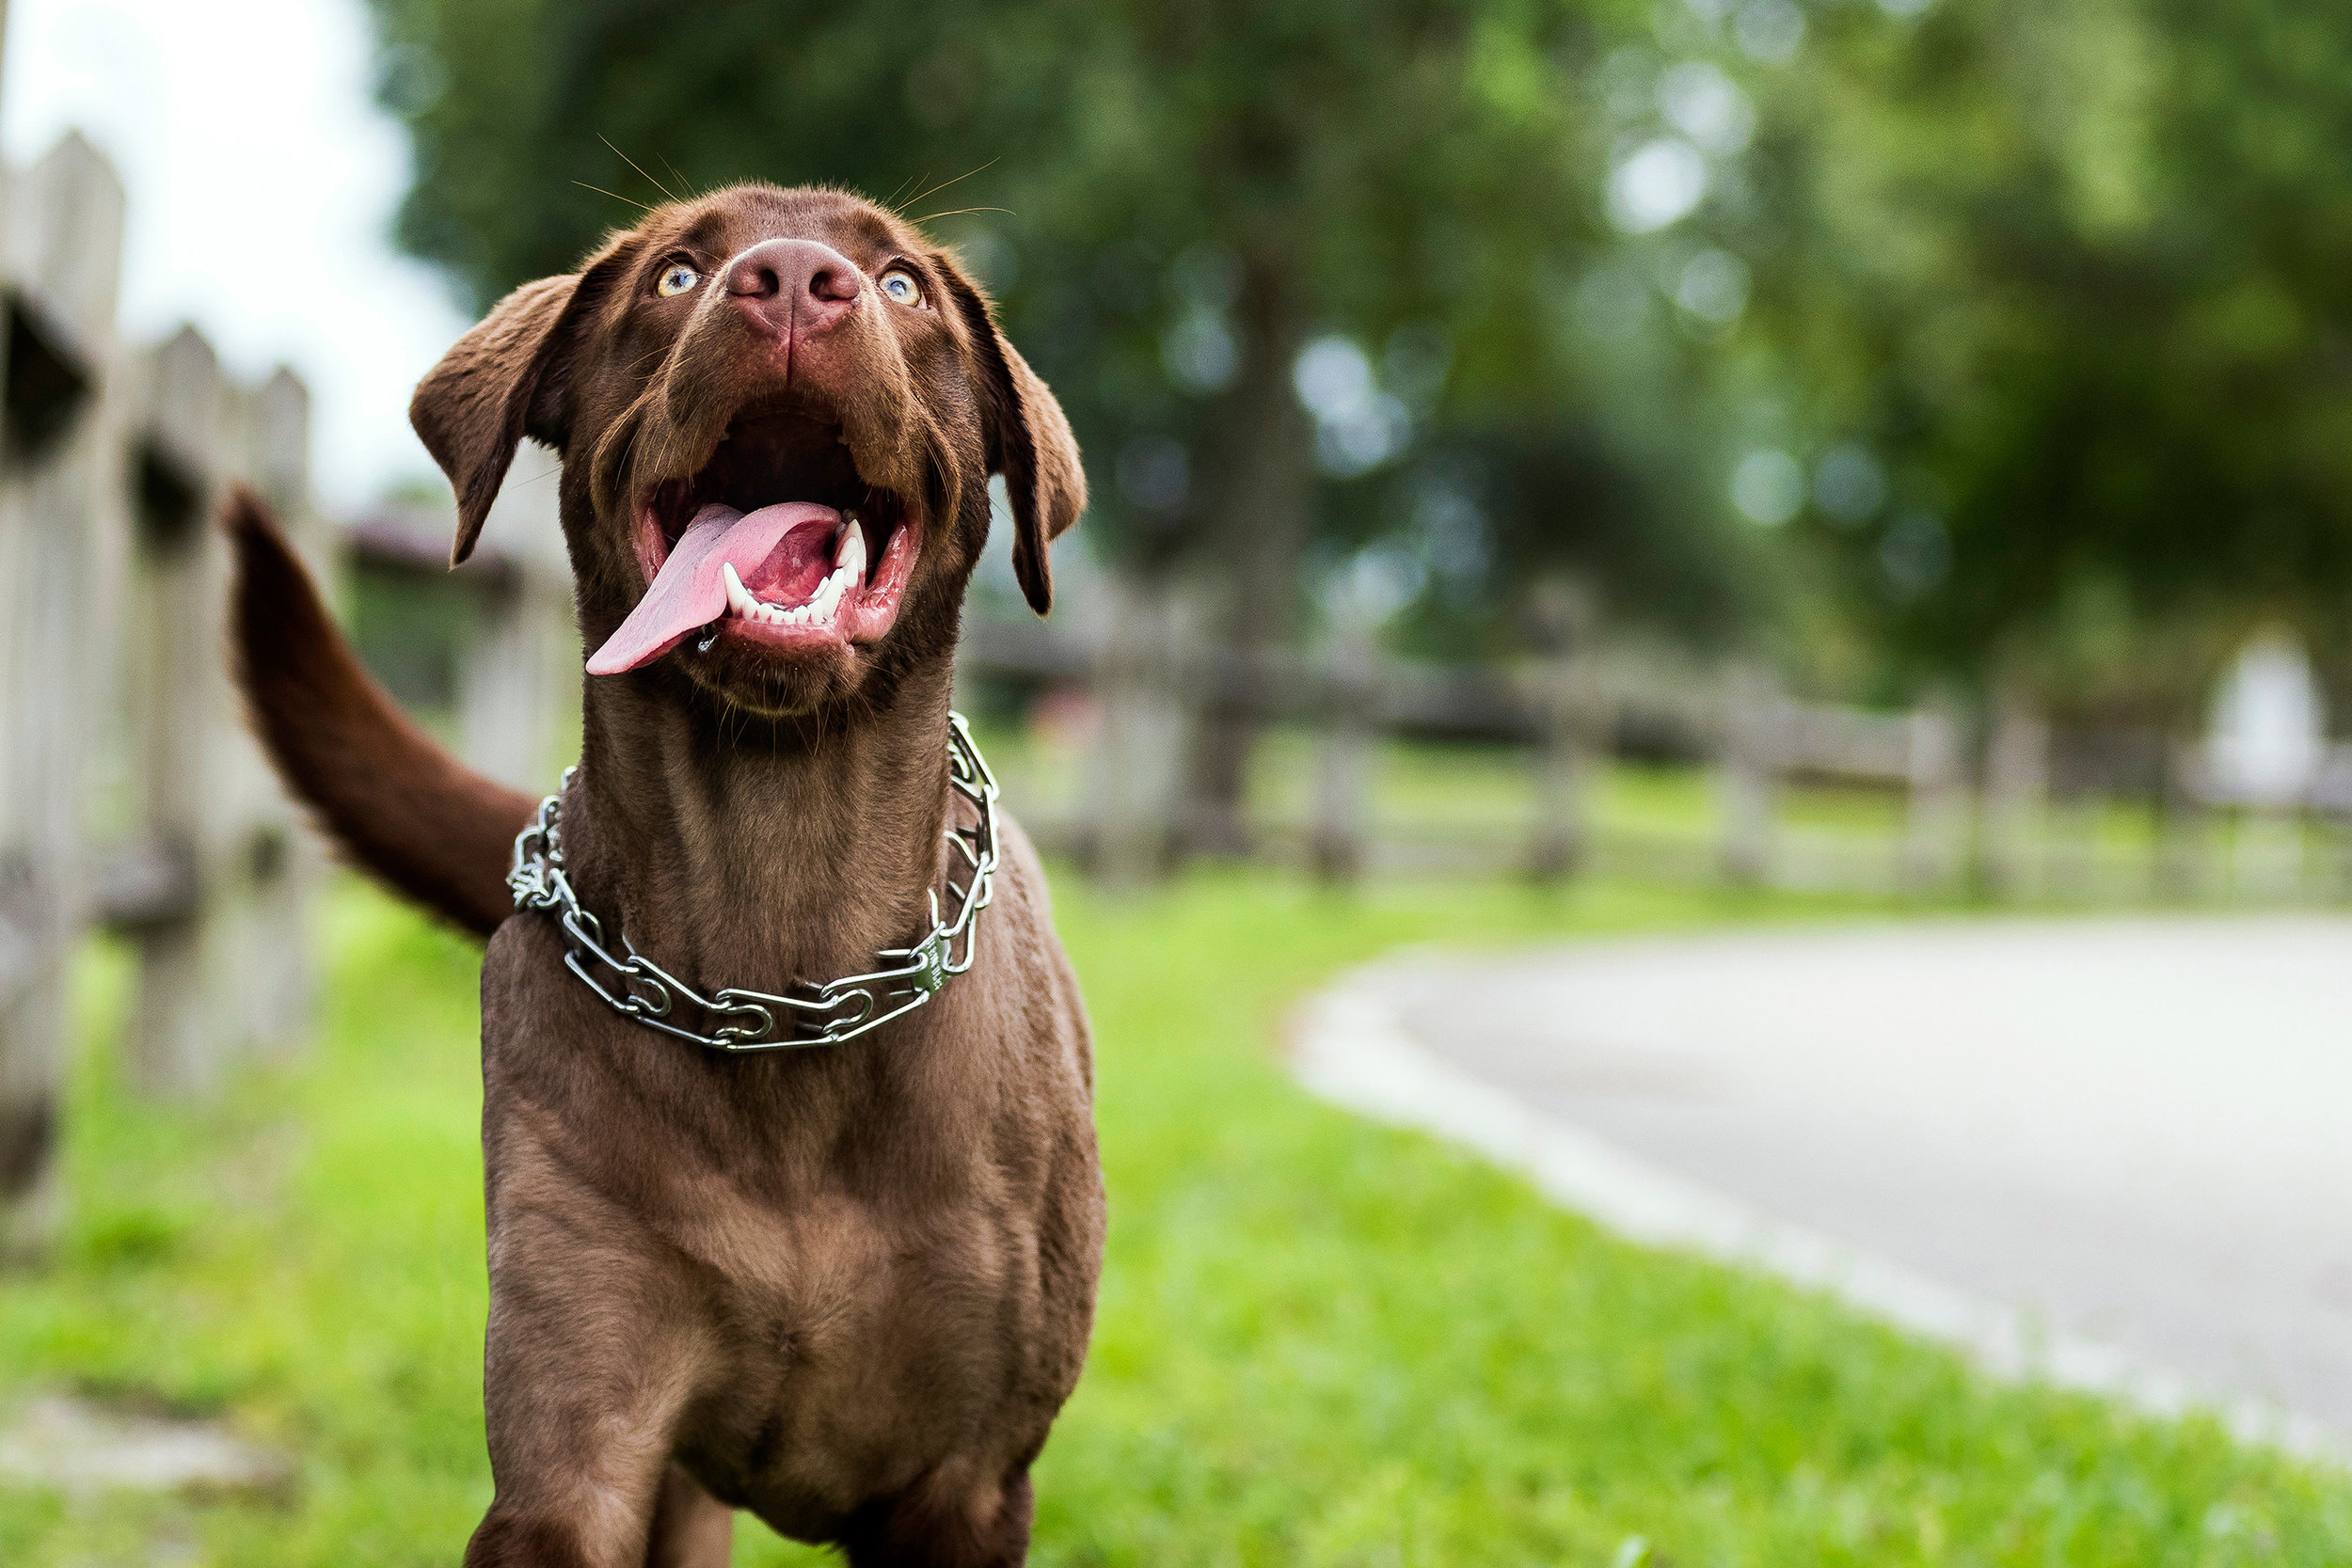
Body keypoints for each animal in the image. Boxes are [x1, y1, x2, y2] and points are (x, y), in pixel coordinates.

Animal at [221, 186, 1101, 1568]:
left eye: (903, 285)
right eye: (677, 273)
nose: (791, 279)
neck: (779, 953)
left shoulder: (966, 1478)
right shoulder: (574, 1433)